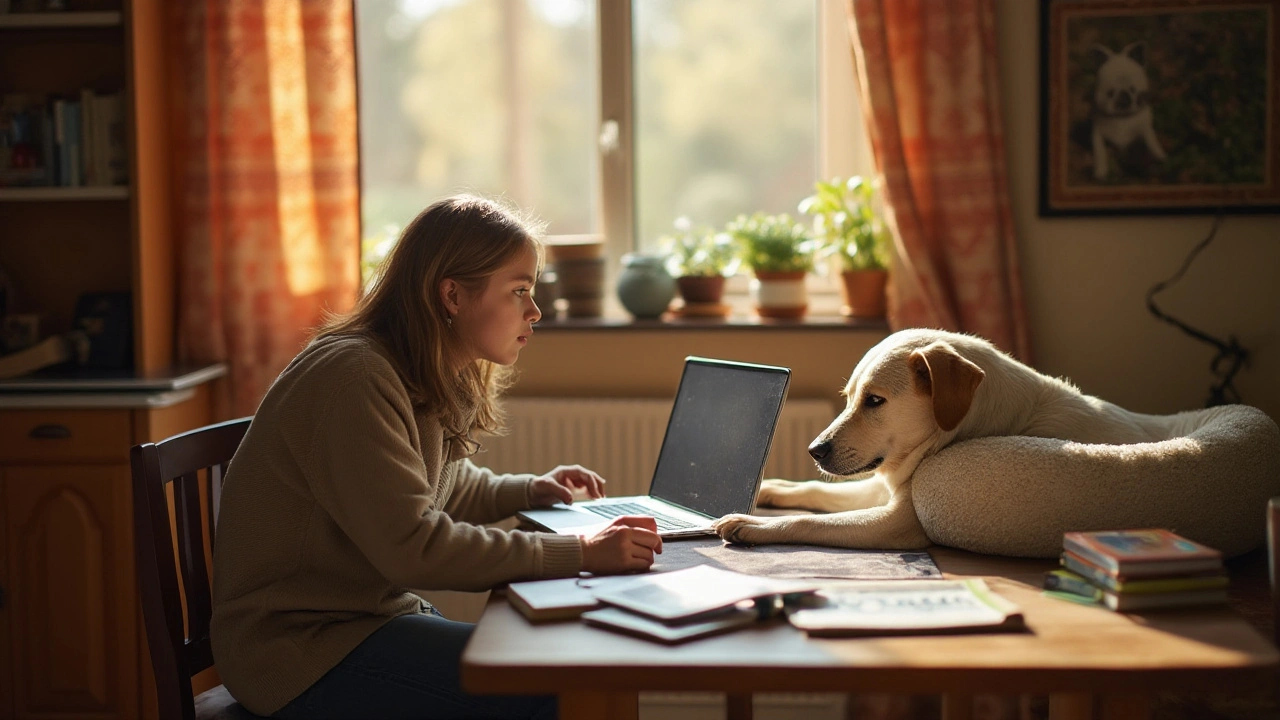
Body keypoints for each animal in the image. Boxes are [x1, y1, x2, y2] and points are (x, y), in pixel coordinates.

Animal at [716, 327, 1192, 545]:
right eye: (848, 398)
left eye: (874, 400)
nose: (814, 450)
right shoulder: (886, 487)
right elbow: (817, 491)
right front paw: (774, 488)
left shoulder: (897, 523)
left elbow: (810, 522)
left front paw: (751, 524)